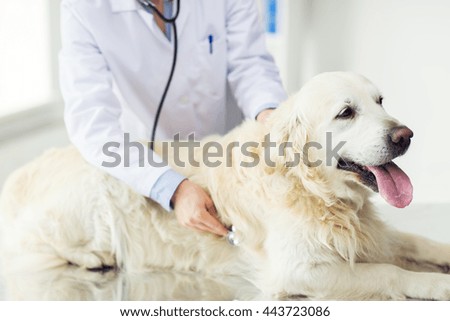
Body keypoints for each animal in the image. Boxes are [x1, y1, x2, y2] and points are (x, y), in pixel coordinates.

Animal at [0, 71, 450, 298]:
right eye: (346, 112)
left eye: (380, 101)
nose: (405, 136)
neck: (312, 189)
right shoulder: (297, 271)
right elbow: (390, 273)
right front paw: (435, 284)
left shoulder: (371, 233)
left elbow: (418, 243)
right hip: (93, 196)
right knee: (36, 248)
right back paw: (92, 258)